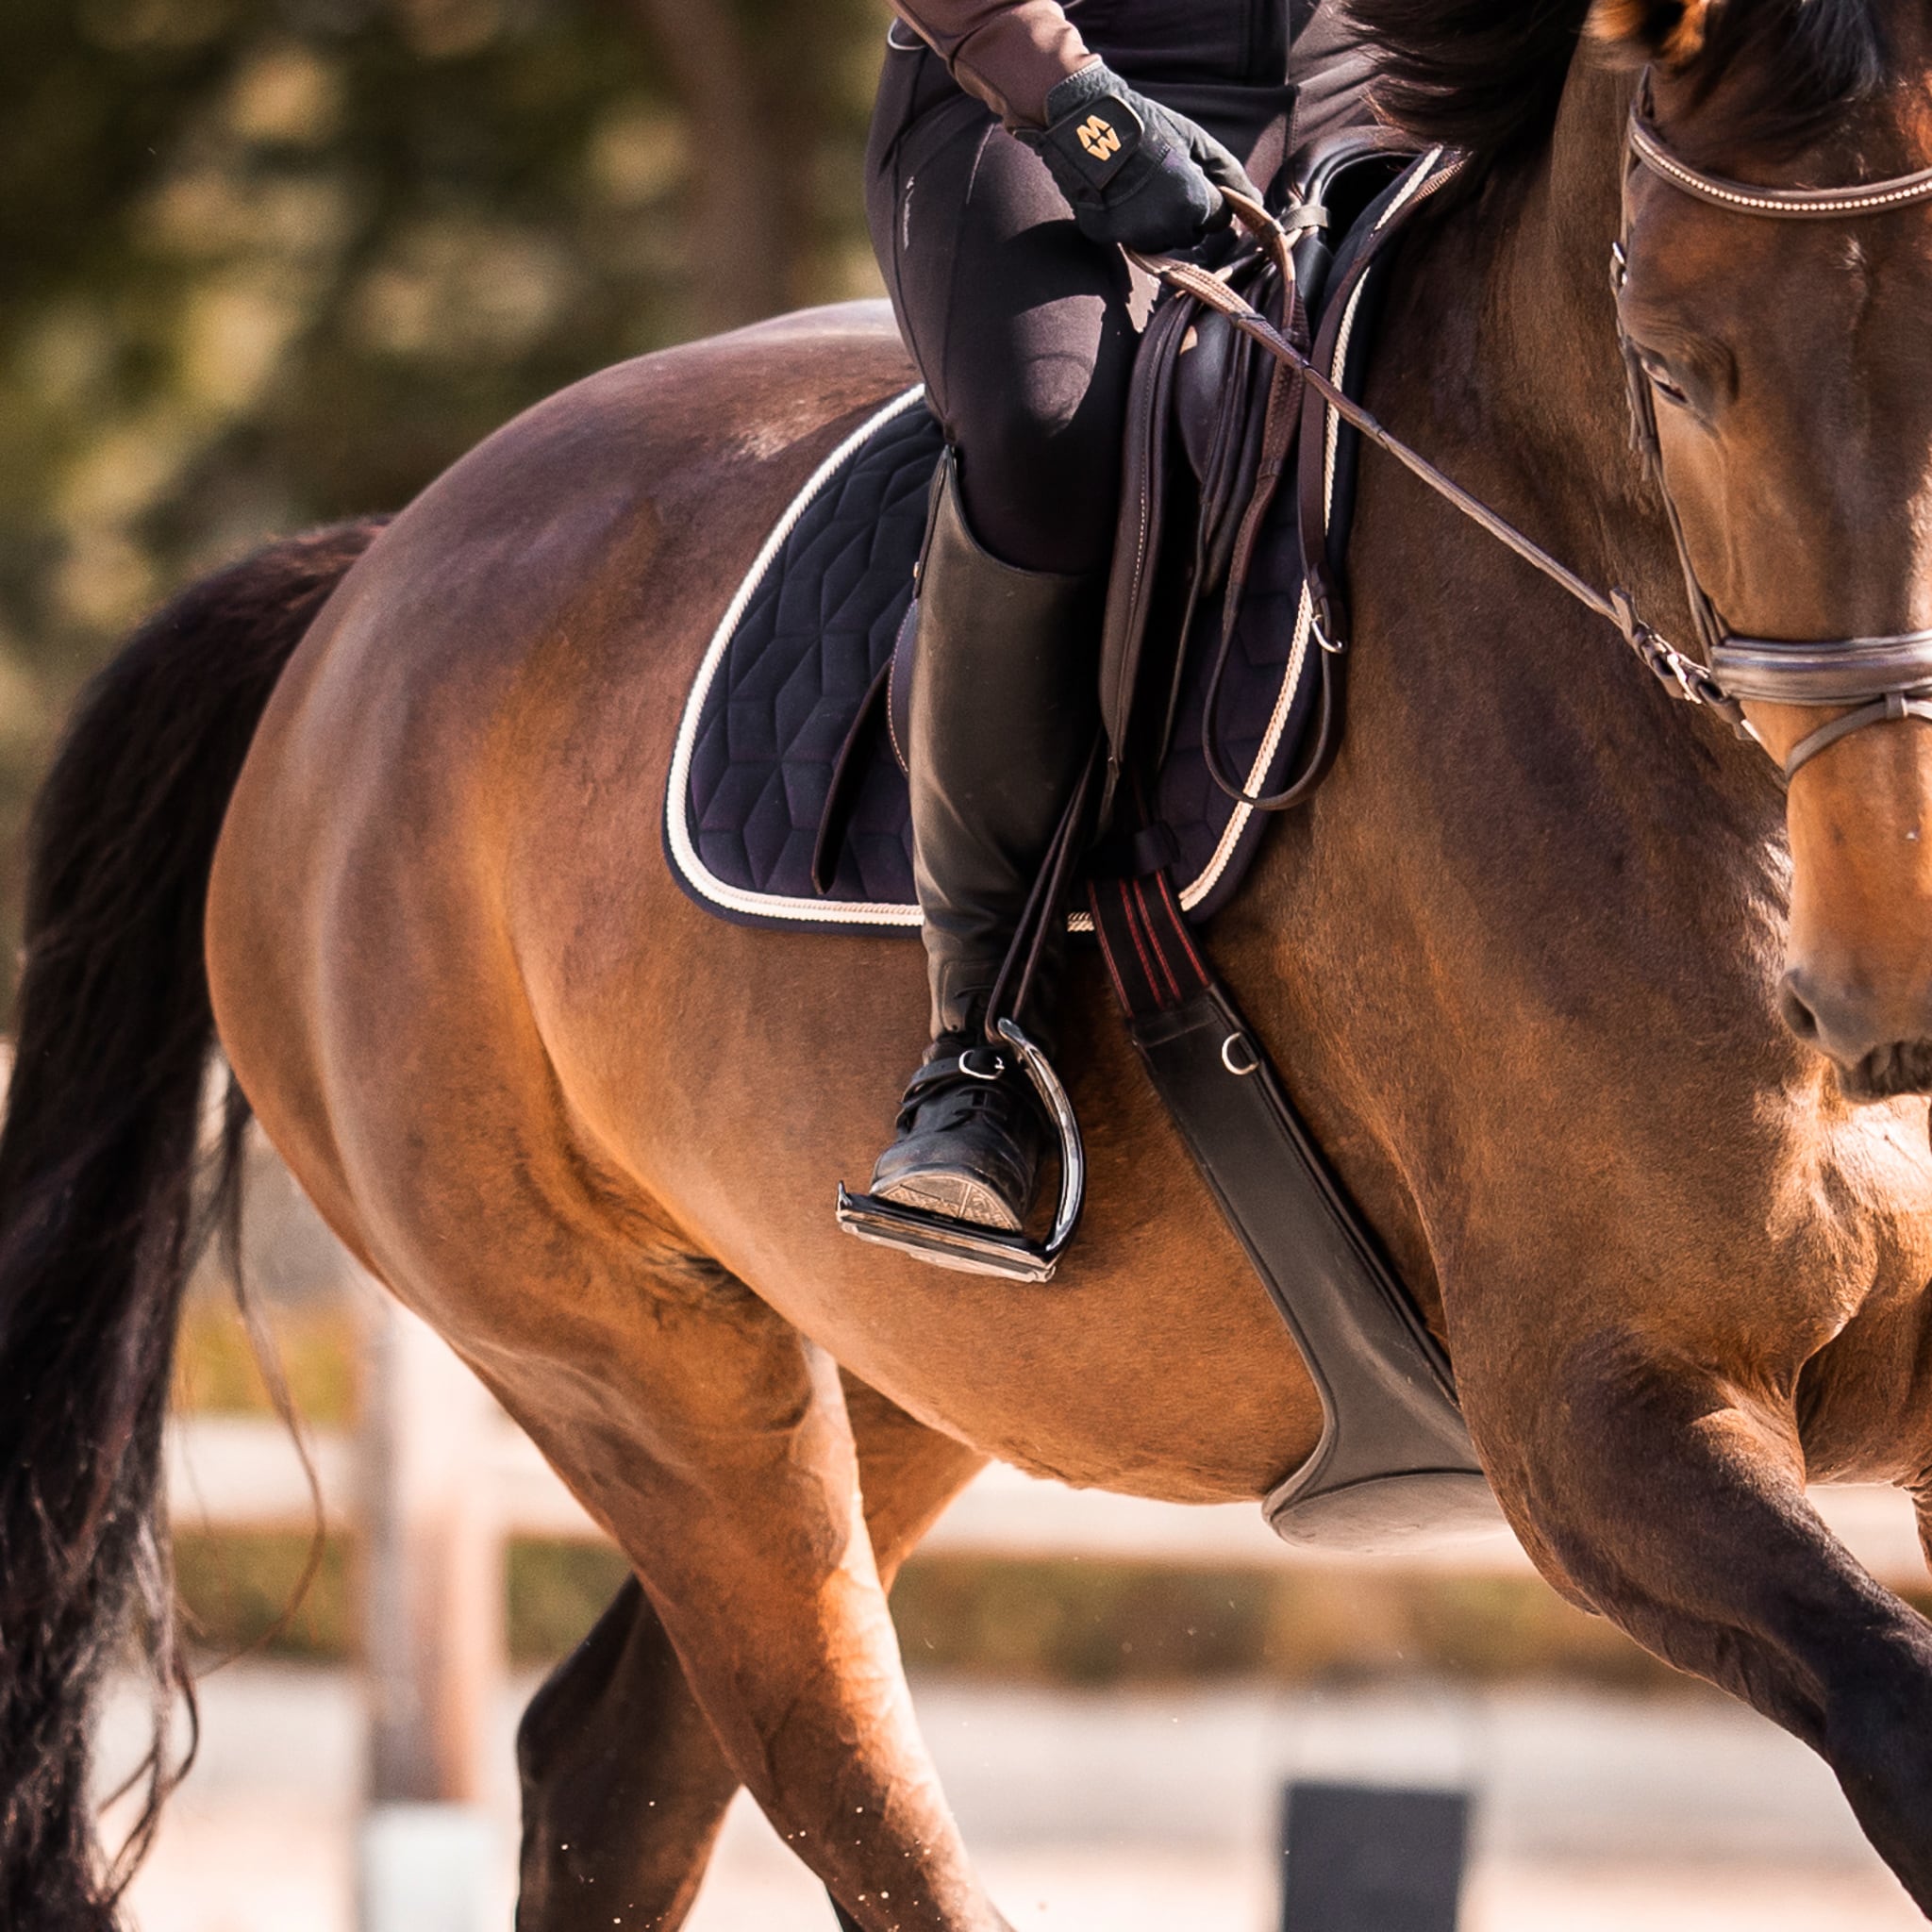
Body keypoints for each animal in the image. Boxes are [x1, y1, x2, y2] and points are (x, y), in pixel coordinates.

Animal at [9, 0, 1932, 1924]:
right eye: (1667, 366)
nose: (1892, 977)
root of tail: (364, 587)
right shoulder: (1602, 1420)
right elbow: (1895, 1729)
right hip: (642, 1374)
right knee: (832, 1785)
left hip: (904, 1368)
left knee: (621, 1765)